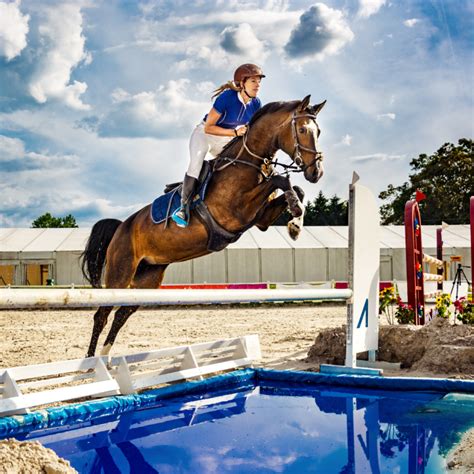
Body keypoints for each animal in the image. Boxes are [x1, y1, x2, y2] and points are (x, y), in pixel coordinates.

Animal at [81, 94, 326, 358]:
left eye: (319, 131)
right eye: (302, 130)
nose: (316, 172)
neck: (248, 162)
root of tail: (120, 227)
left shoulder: (260, 219)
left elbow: (294, 188)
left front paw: (296, 223)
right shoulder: (235, 211)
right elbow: (281, 180)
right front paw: (295, 213)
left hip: (148, 276)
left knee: (122, 313)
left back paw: (106, 358)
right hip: (120, 272)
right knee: (102, 315)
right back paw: (91, 361)